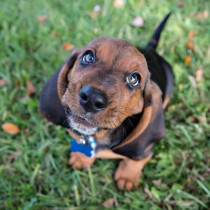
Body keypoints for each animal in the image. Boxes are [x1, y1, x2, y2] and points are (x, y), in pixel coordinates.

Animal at [39, 13, 174, 190]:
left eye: (134, 79)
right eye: (88, 57)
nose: (91, 98)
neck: (98, 137)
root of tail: (151, 49)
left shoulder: (144, 151)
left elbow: (134, 161)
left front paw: (127, 177)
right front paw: (81, 158)